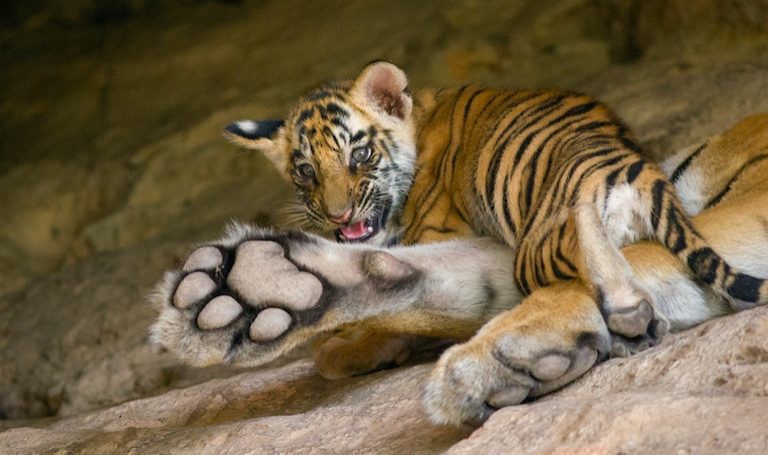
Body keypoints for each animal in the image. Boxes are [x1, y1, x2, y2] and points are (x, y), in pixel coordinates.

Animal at [149, 61, 768, 425]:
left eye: (359, 155)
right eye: (304, 172)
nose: (339, 215)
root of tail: (630, 169)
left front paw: (348, 347)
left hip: (544, 246)